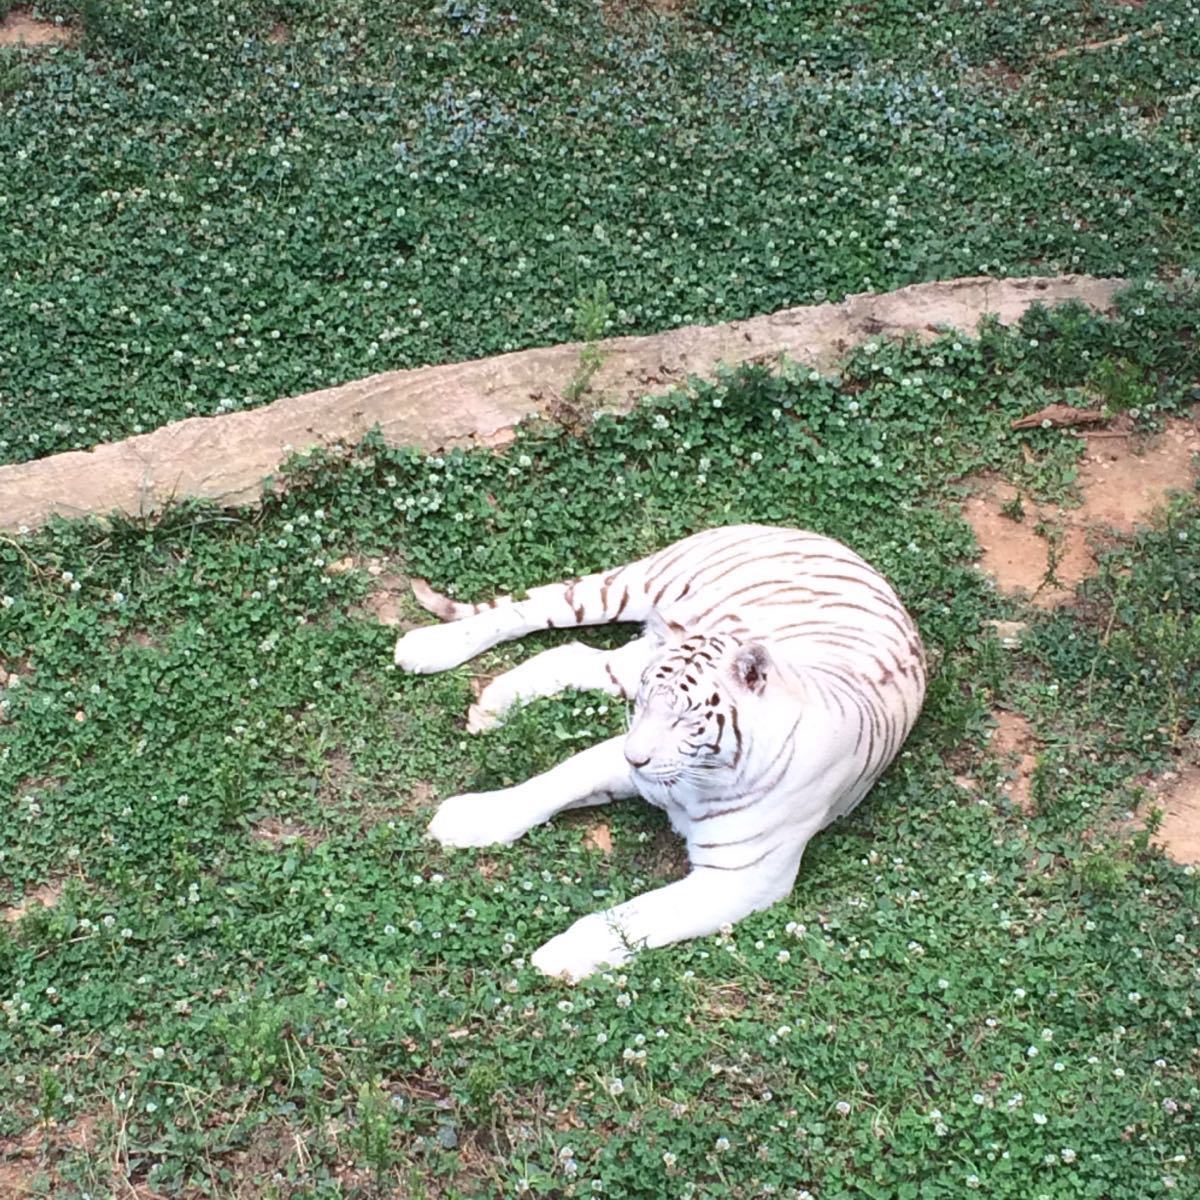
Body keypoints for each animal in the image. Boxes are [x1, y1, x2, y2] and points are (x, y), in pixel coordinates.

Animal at [393, 525, 926, 984]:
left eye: (687, 719)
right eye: (647, 702)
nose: (635, 760)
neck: (702, 777)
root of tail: (816, 536)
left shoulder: (741, 878)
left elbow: (633, 914)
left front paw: (560, 954)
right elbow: (554, 782)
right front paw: (470, 818)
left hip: (628, 657)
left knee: (571, 653)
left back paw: (491, 705)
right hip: (632, 588)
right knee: (527, 610)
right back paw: (426, 646)